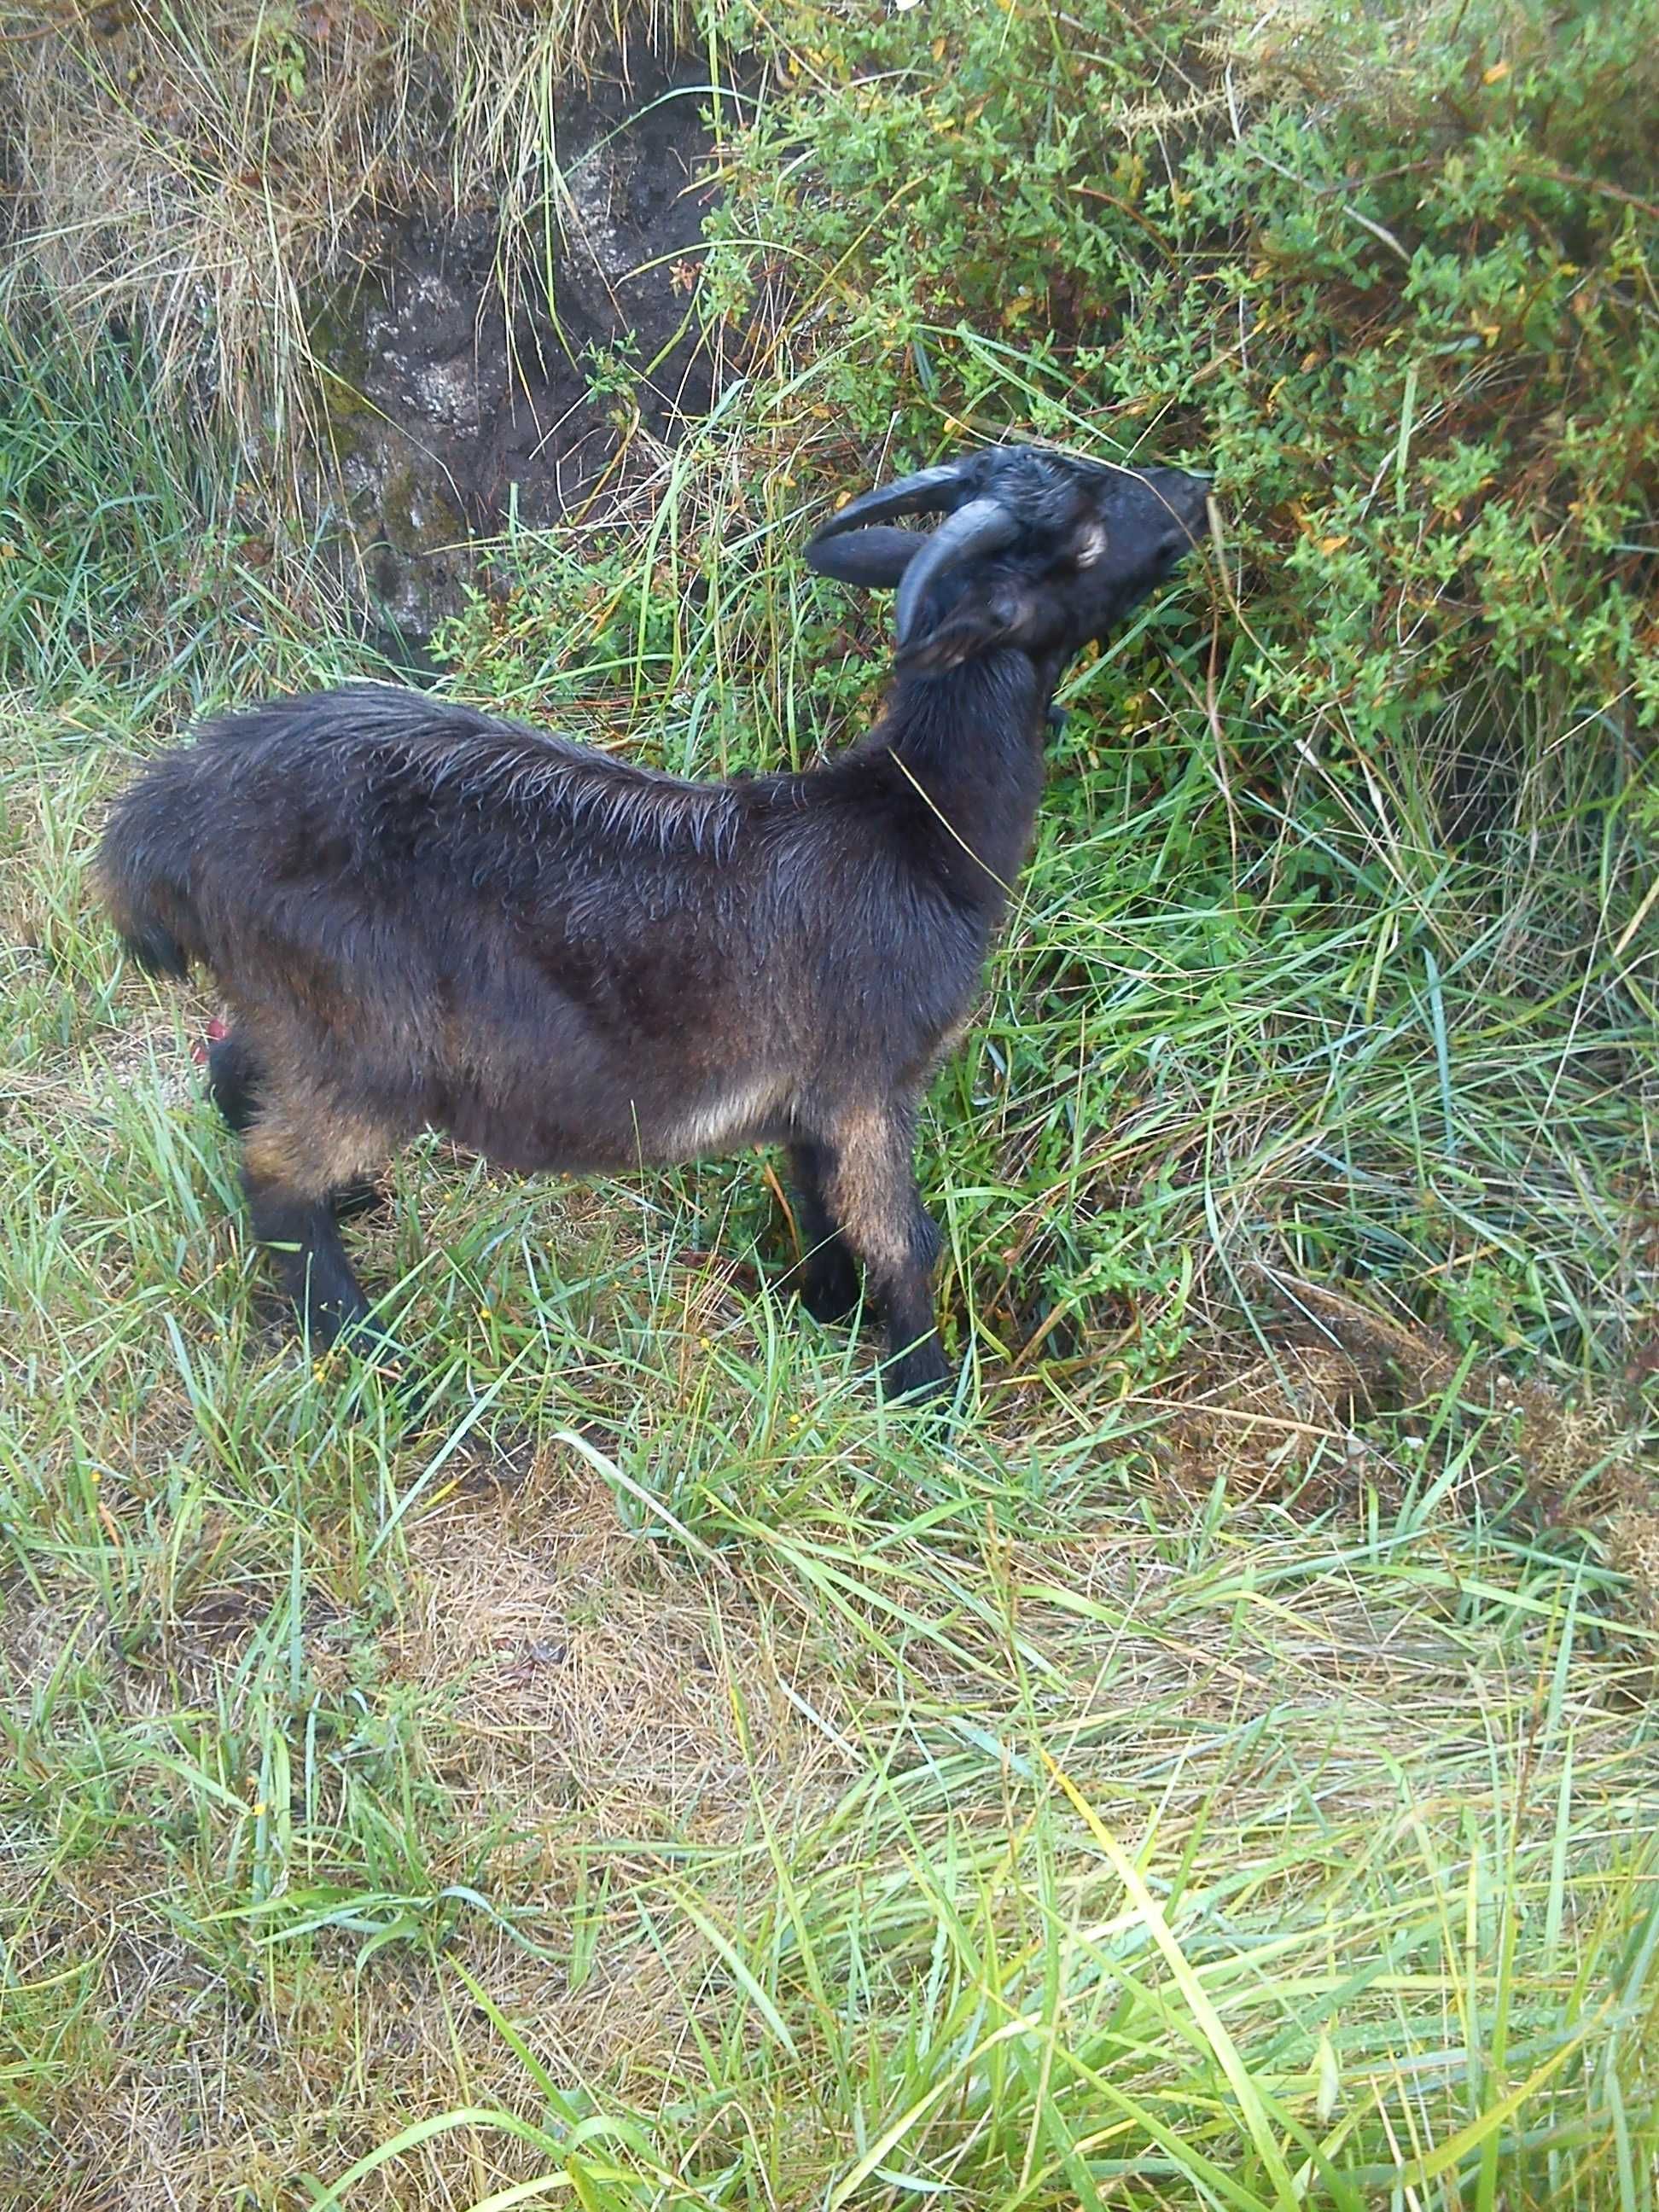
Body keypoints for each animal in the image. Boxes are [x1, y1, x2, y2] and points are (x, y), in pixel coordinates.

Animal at [97, 439, 1212, 1388]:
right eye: (1081, 533)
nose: (1193, 489)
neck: (916, 829)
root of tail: (158, 826)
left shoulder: (808, 1104)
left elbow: (819, 1212)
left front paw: (825, 1320)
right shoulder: (869, 1079)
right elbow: (900, 1239)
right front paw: (927, 1398)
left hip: (293, 1008)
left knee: (233, 1069)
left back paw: (356, 1214)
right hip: (370, 1037)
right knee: (274, 1171)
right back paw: (380, 1358)